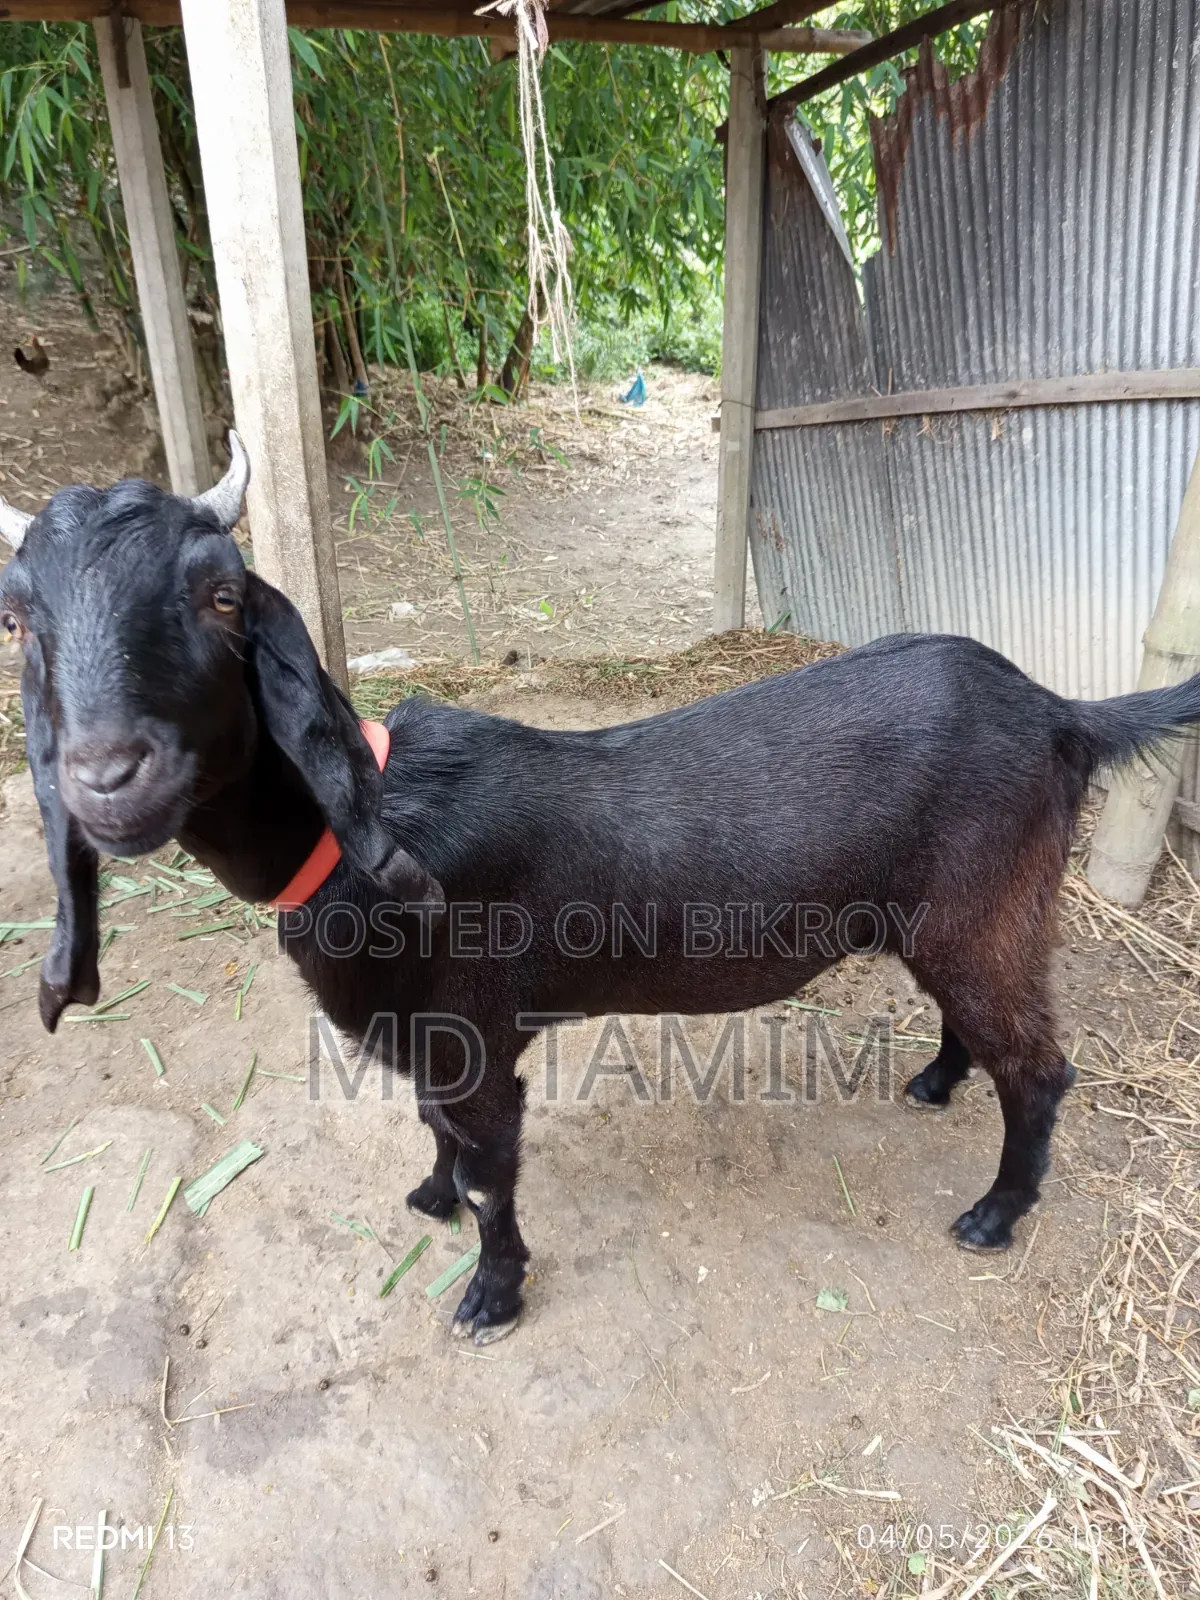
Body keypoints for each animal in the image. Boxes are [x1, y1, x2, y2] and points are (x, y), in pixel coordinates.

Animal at [4, 437, 1200, 1343]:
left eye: (220, 595)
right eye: (20, 620)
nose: (109, 778)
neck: (362, 838)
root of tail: (1059, 710)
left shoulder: (475, 1036)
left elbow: (489, 1171)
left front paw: (489, 1297)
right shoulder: (428, 1034)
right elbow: (435, 1134)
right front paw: (428, 1197)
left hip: (986, 901)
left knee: (1039, 1067)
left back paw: (995, 1213)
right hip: (951, 914)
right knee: (976, 1021)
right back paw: (936, 1083)